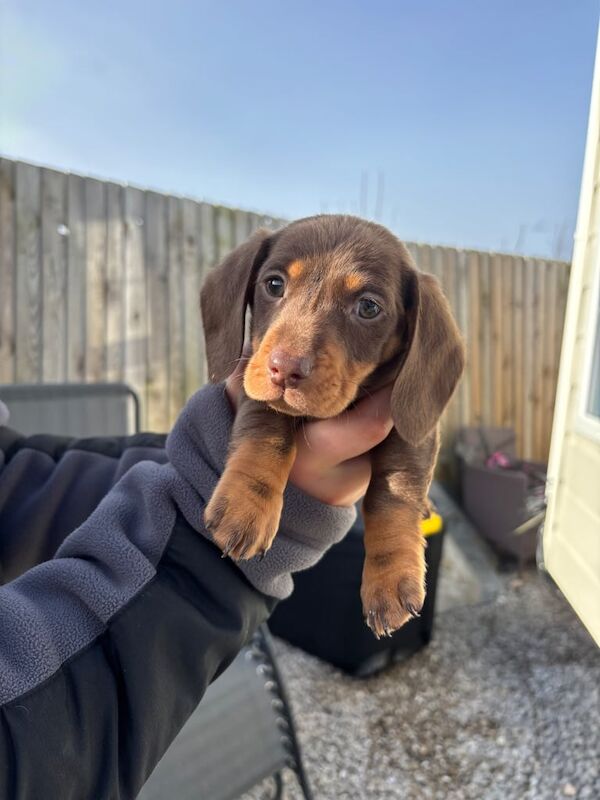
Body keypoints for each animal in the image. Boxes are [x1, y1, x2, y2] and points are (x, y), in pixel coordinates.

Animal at [202, 214, 464, 636]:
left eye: (368, 307)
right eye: (274, 284)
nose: (283, 369)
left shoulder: (413, 427)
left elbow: (395, 491)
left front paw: (390, 577)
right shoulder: (252, 381)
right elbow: (267, 431)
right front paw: (245, 504)